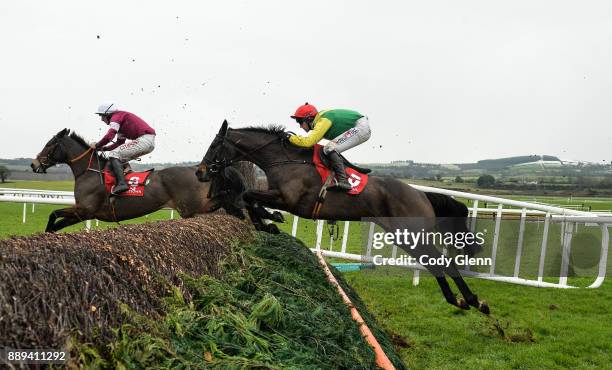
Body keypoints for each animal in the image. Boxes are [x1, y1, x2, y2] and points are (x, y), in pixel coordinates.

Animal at [29, 127, 266, 231]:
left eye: (49, 144)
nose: (34, 164)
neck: (90, 172)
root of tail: (199, 169)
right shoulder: (84, 213)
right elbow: (56, 225)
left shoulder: (85, 209)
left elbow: (53, 214)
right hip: (196, 207)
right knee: (230, 201)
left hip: (192, 207)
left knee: (227, 200)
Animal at [198, 120, 490, 312]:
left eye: (213, 146)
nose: (200, 172)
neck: (286, 160)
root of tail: (420, 194)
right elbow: (250, 197)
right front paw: (268, 222)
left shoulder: (291, 201)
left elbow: (249, 196)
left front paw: (269, 222)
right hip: (403, 236)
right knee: (434, 264)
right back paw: (459, 300)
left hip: (412, 233)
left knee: (443, 262)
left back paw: (474, 300)